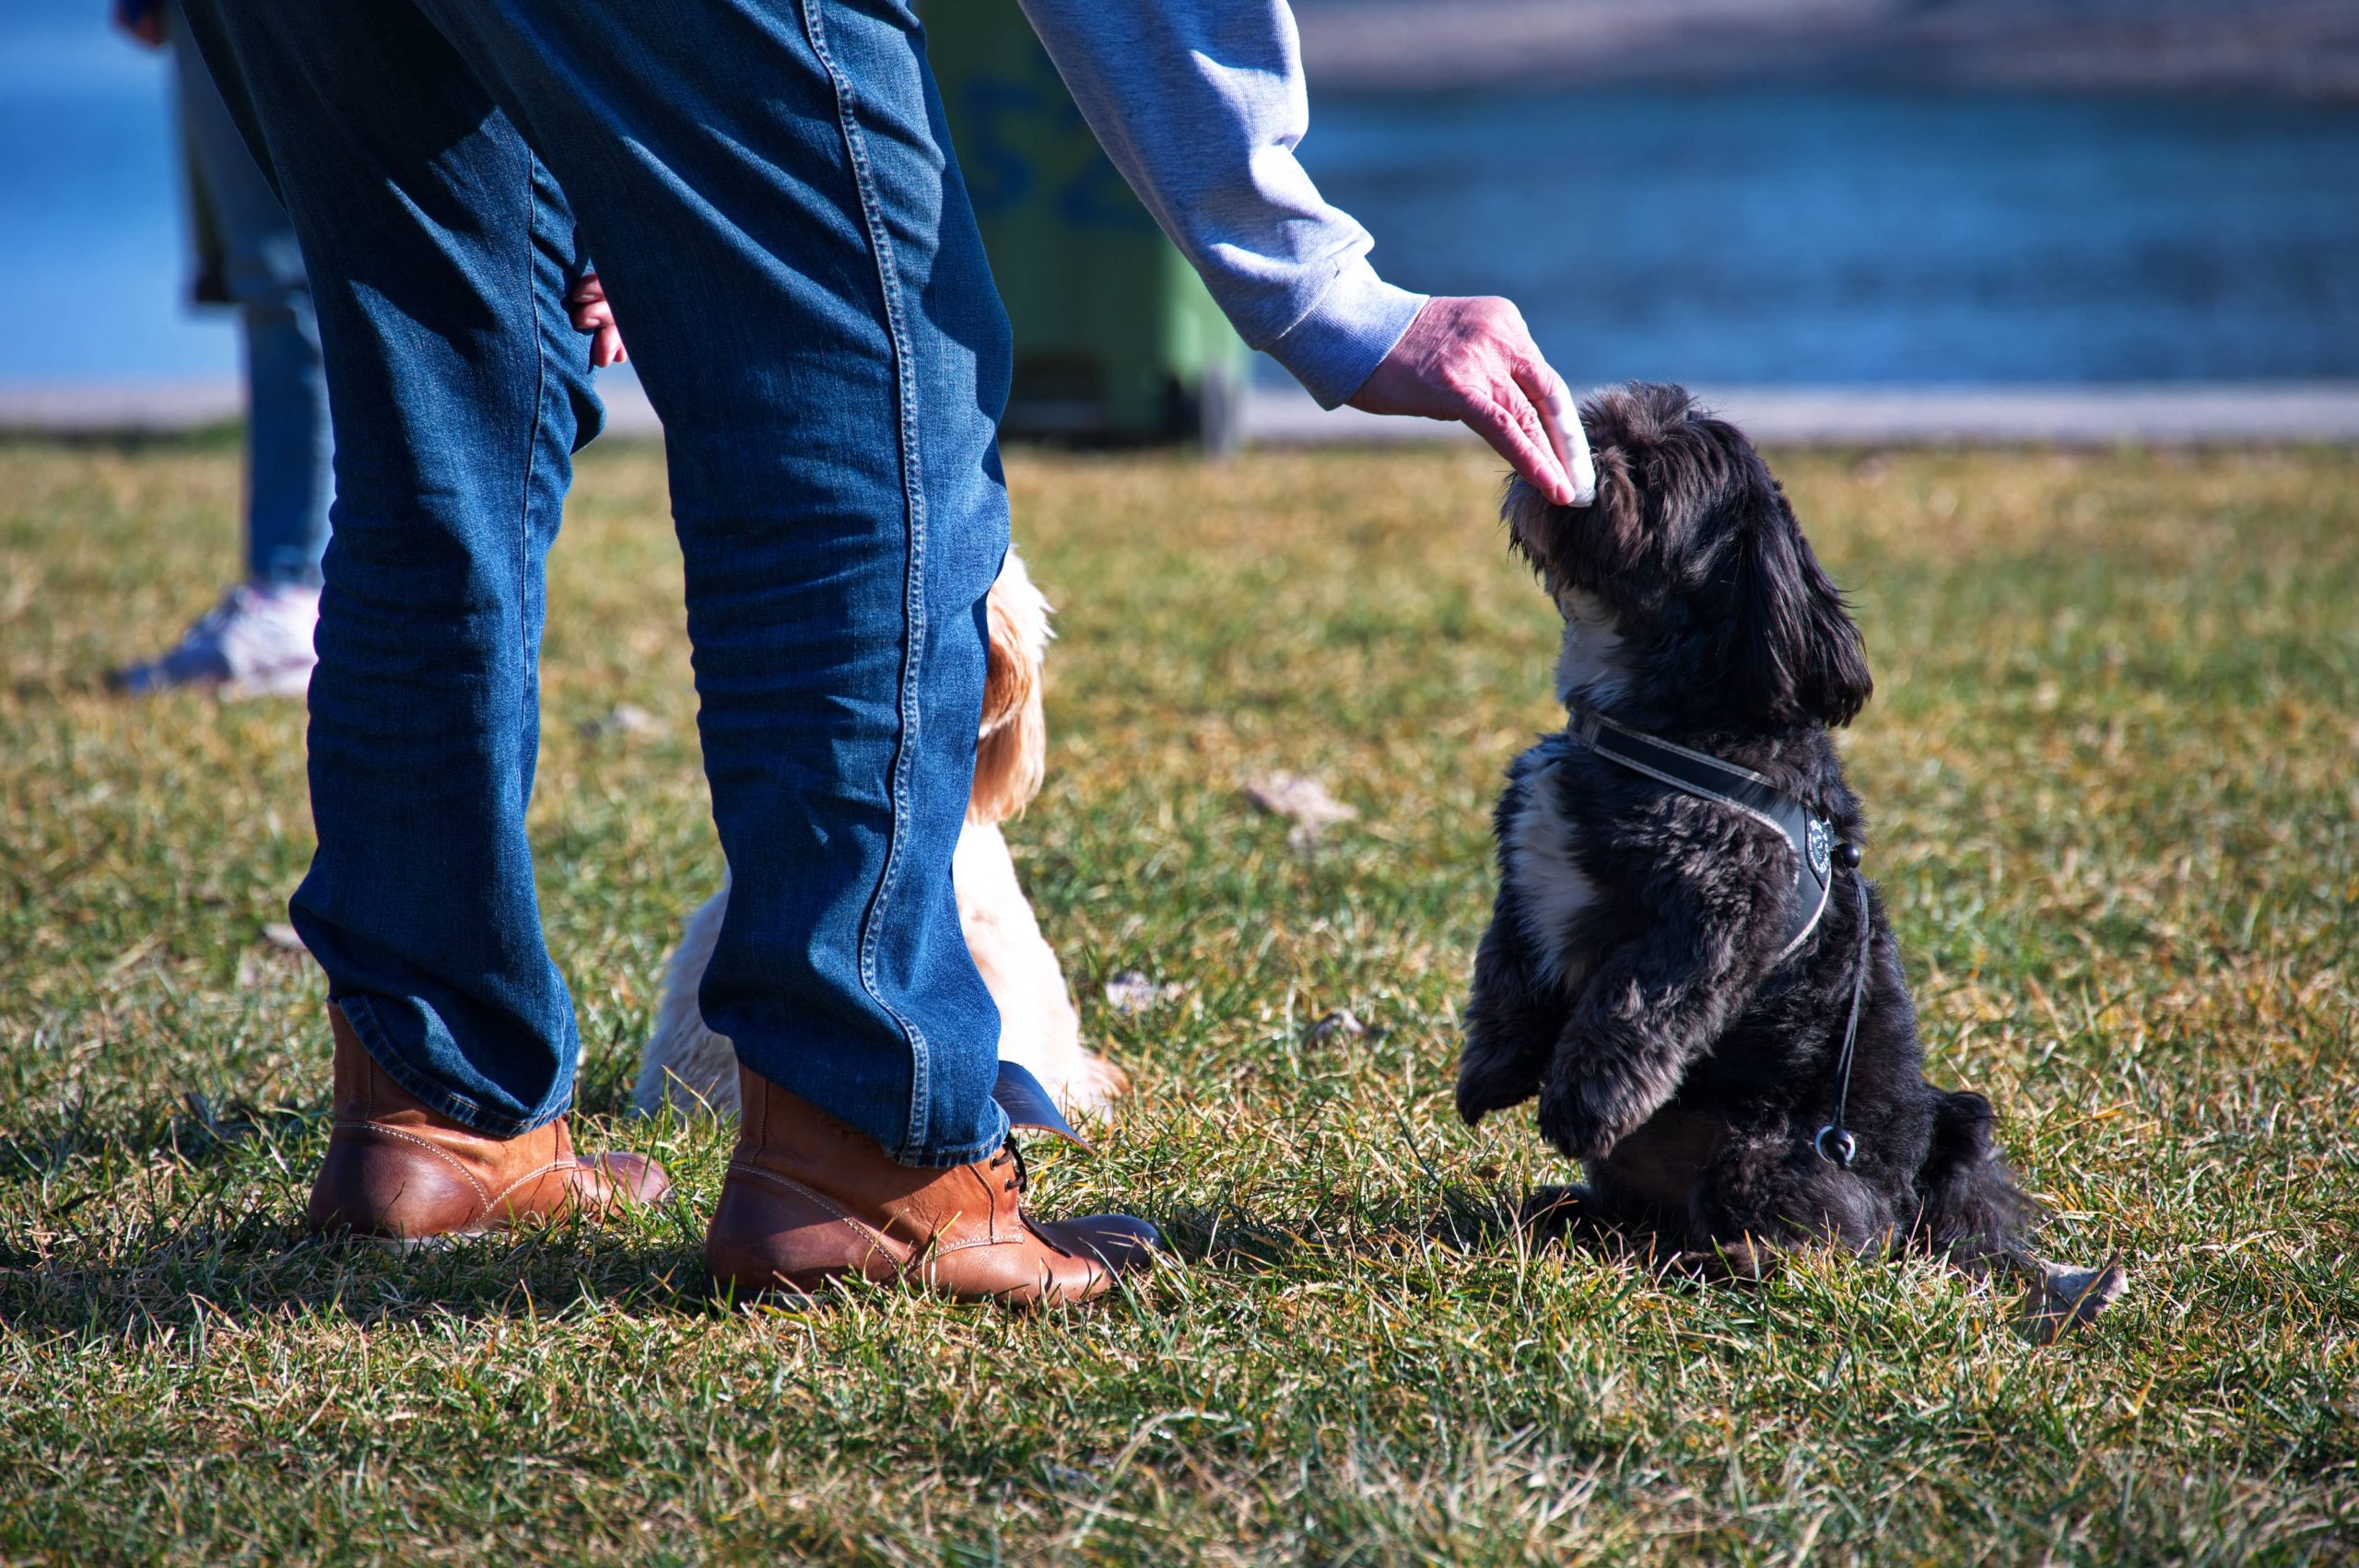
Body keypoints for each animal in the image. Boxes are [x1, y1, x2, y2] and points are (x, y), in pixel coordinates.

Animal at [1452, 384, 2123, 1329]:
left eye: (1650, 472)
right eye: (1603, 419)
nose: (1580, 439)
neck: (1653, 722)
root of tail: (1917, 1196)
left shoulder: (1712, 912)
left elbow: (1629, 1009)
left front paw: (1577, 1105)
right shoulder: (1526, 873)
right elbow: (1506, 972)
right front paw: (1491, 1071)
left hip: (1768, 1155)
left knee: (1817, 1241)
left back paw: (1726, 1257)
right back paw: (1563, 1214)